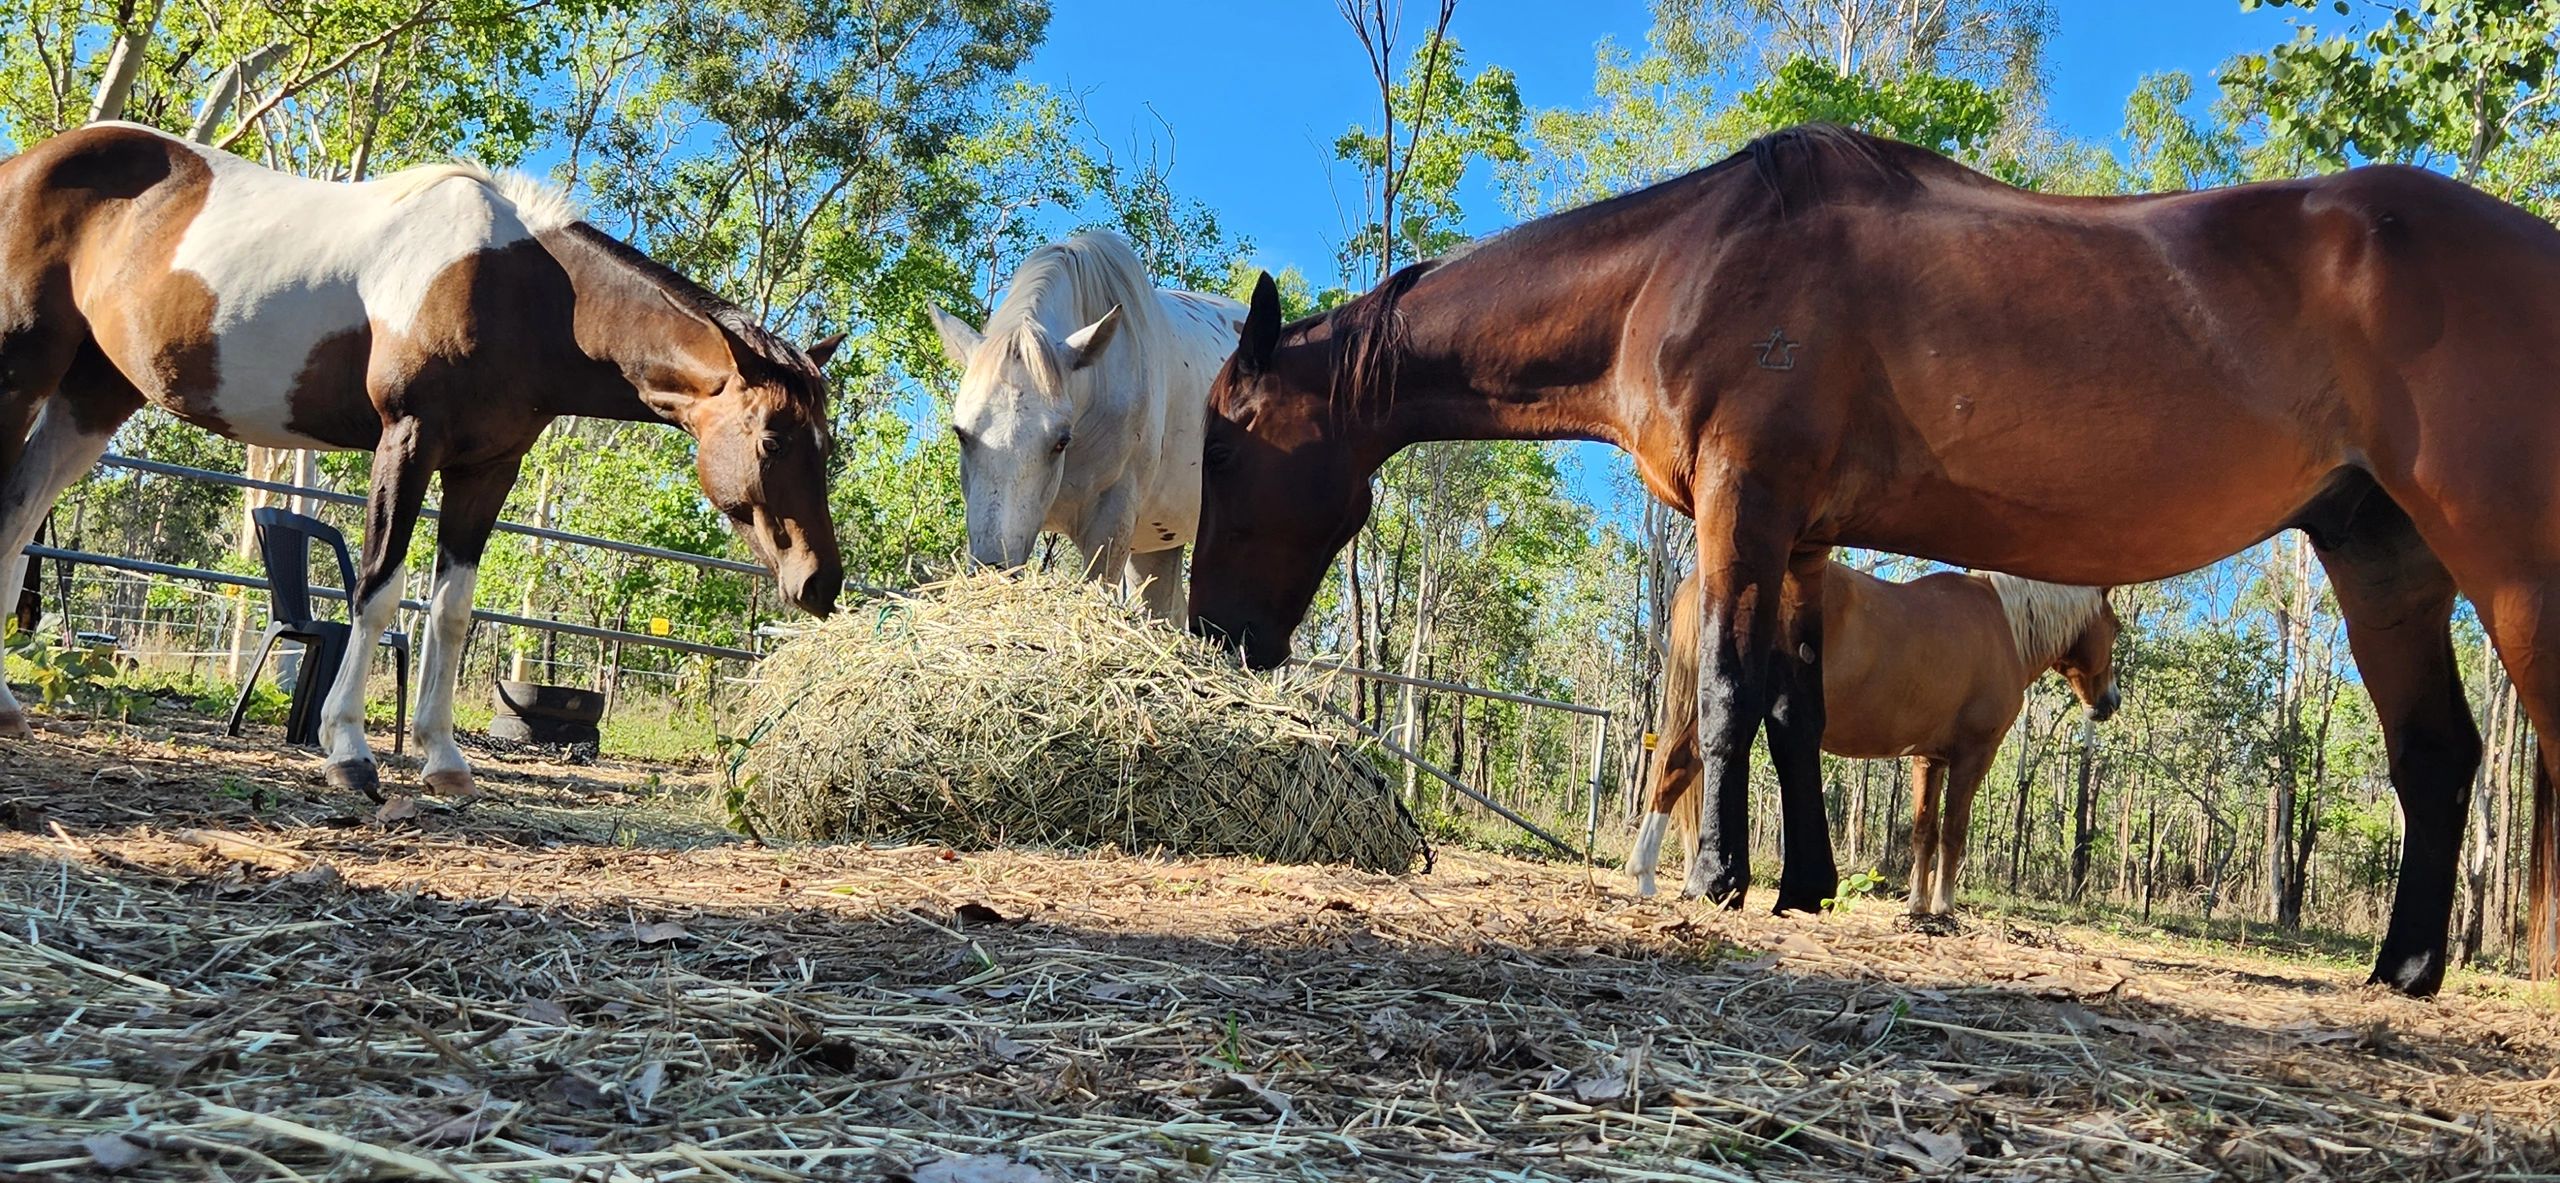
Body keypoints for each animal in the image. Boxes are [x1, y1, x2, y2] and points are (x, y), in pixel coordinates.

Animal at [0, 124, 844, 798]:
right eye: (773, 439)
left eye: (826, 446)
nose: (820, 582)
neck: (524, 292)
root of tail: (29, 162)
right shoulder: (406, 441)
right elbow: (377, 590)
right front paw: (348, 750)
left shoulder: (486, 469)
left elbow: (452, 612)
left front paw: (444, 762)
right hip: (25, 366)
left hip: (93, 395)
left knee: (20, 508)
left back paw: (8, 705)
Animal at [1638, 563, 2119, 916]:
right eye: (2115, 627)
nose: (2109, 702)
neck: (2003, 624)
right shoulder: (1973, 754)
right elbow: (1953, 830)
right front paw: (1944, 907)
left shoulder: (1929, 758)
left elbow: (1924, 830)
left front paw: (1918, 906)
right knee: (1678, 766)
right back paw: (1652, 875)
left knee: (1671, 768)